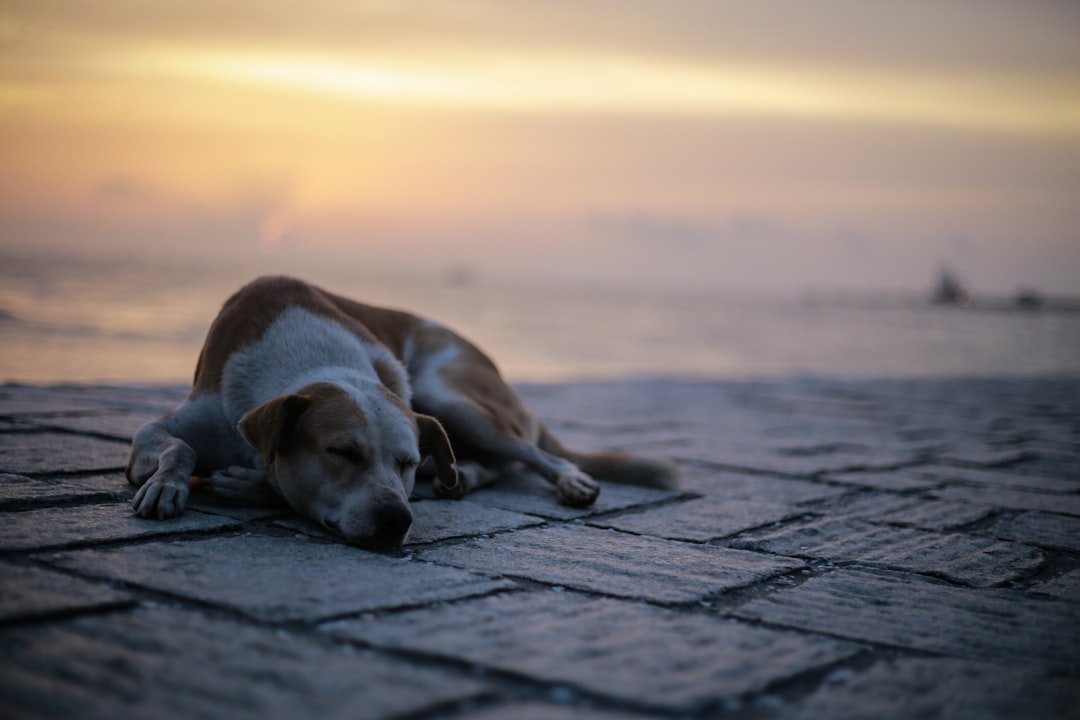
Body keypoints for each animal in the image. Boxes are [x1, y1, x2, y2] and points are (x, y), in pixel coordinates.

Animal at [126, 278, 678, 548]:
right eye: (341, 452)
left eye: (407, 462)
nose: (396, 520)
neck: (309, 356)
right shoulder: (180, 421)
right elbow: (175, 443)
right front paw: (166, 484)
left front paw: (251, 485)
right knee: (492, 464)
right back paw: (463, 477)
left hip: (447, 394)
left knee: (526, 455)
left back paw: (566, 480)